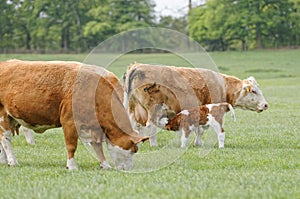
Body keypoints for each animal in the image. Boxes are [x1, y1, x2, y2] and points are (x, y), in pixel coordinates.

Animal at [0, 59, 148, 169]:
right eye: (134, 150)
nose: (129, 169)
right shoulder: (69, 122)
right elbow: (71, 145)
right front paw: (71, 166)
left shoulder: (93, 127)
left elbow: (97, 146)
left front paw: (105, 165)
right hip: (3, 116)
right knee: (6, 139)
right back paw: (12, 161)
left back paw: (3, 160)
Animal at [123, 63, 268, 148]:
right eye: (254, 91)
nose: (266, 105)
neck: (223, 86)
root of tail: (137, 66)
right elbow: (201, 130)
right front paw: (198, 143)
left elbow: (199, 129)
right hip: (154, 109)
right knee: (151, 126)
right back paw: (154, 145)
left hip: (133, 109)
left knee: (135, 126)